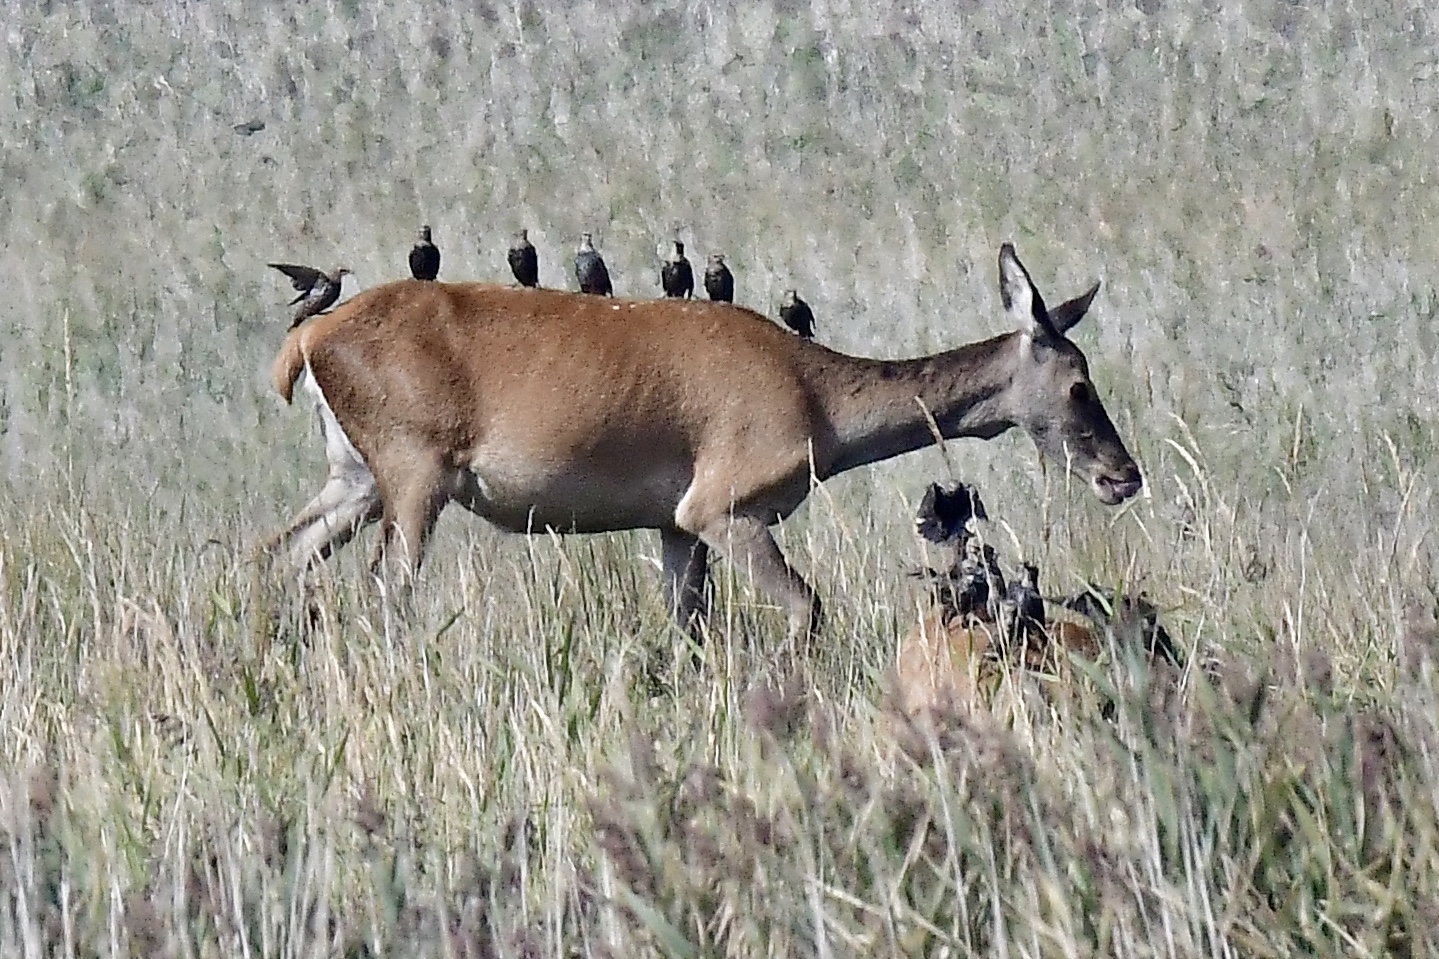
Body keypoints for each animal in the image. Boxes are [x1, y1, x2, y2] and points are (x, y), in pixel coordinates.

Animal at [270, 243, 1139, 639]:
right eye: (1079, 383)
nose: (1122, 476)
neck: (814, 394)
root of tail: (308, 340)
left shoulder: (673, 526)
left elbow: (686, 622)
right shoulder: (724, 508)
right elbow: (805, 605)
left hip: (356, 479)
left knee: (279, 554)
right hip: (415, 475)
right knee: (388, 583)